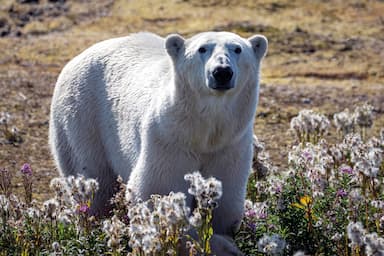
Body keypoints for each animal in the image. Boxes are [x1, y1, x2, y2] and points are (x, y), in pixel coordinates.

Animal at [50, 31, 268, 254]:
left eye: (237, 49)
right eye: (202, 49)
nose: (222, 72)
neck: (202, 134)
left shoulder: (230, 145)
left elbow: (225, 201)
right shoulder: (168, 140)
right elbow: (158, 191)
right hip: (83, 118)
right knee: (94, 183)